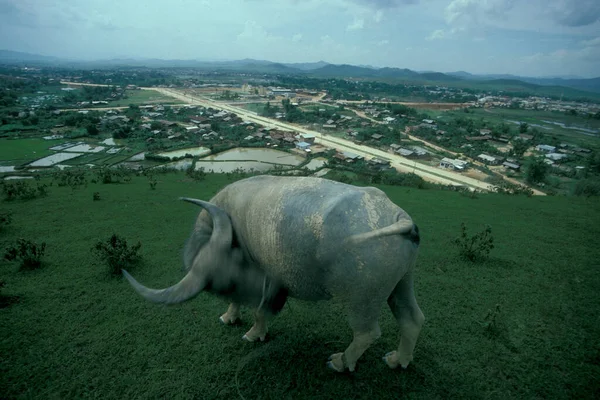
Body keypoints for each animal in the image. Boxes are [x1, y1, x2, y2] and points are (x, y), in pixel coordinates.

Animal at [122, 175, 424, 372]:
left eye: (236, 262)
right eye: (221, 283)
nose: (279, 301)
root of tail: (399, 218)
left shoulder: (270, 278)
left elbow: (260, 311)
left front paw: (254, 333)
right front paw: (231, 317)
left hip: (362, 299)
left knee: (367, 333)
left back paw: (341, 362)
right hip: (401, 283)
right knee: (412, 318)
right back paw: (398, 360)